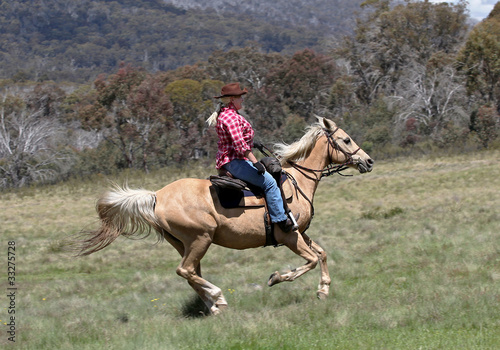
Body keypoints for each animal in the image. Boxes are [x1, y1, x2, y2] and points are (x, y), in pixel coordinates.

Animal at [76, 117, 374, 314]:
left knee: (190, 273)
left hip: (184, 244)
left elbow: (321, 254)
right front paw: (277, 277)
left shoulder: (300, 232)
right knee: (185, 270)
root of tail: (156, 195)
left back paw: (215, 305)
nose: (368, 161)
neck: (297, 181)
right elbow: (310, 261)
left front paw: (323, 290)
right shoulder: (290, 236)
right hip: (200, 239)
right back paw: (218, 297)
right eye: (346, 139)